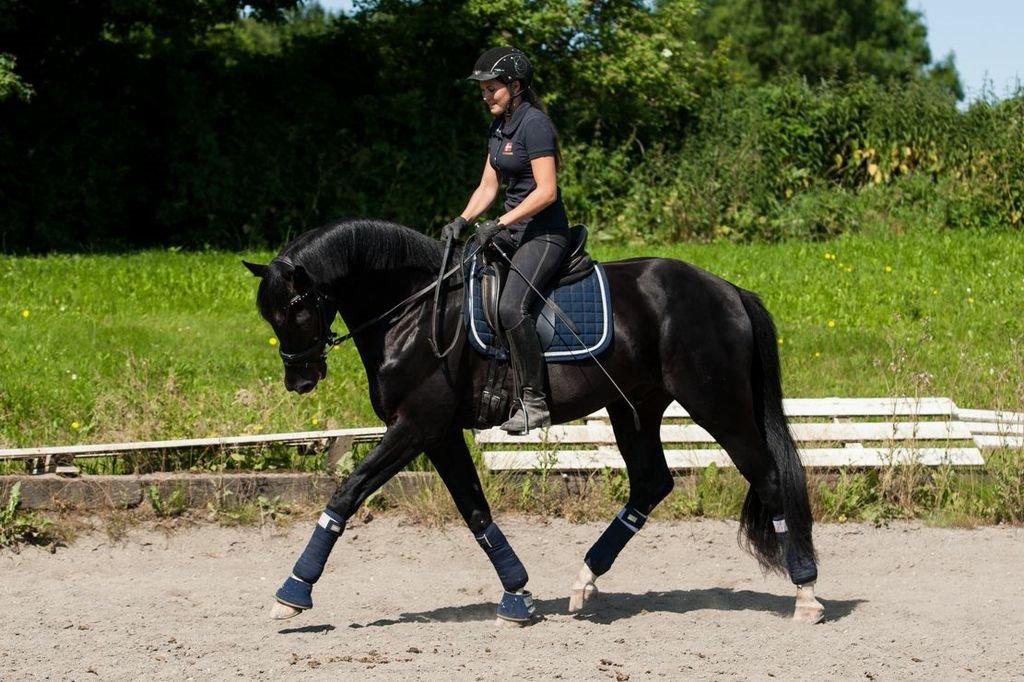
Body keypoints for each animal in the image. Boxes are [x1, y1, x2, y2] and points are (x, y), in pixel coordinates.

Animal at [241, 218, 823, 622]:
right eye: (268, 313)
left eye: (295, 306)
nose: (300, 379)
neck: (415, 311)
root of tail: (727, 290)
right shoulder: (439, 432)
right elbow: (474, 511)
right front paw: (516, 593)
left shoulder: (417, 425)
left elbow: (348, 492)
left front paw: (292, 592)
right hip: (635, 407)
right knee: (651, 483)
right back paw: (585, 581)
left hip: (716, 404)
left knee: (768, 476)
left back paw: (806, 592)